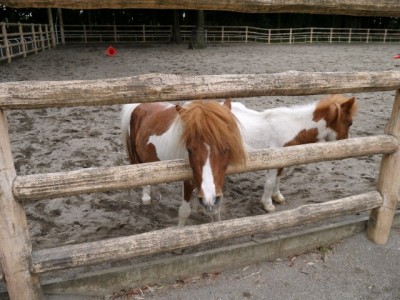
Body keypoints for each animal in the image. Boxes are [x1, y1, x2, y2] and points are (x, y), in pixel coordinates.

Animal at [230, 94, 358, 213]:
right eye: (349, 123)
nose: (347, 143)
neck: (290, 128)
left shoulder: (283, 160)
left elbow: (278, 179)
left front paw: (277, 197)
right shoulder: (273, 161)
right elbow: (270, 182)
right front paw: (268, 205)